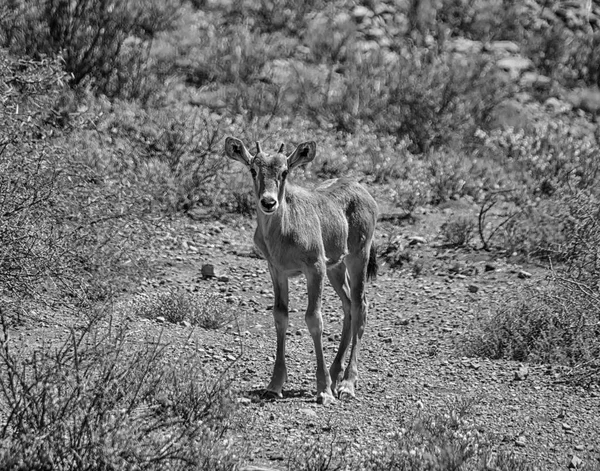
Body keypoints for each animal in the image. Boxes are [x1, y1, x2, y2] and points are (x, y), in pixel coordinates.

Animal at [223, 136, 378, 406]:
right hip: (336, 267)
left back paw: (346, 384)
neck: (284, 230)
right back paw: (335, 374)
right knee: (348, 305)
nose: (268, 202)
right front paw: (274, 385)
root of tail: (362, 191)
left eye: (285, 171)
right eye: (253, 169)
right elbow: (280, 316)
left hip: (358, 258)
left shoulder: (314, 269)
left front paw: (323, 391)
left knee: (361, 306)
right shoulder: (277, 271)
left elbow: (314, 319)